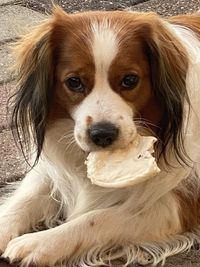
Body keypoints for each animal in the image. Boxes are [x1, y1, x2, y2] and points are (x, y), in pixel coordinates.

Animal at [0, 6, 200, 267]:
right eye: (74, 82)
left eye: (130, 80)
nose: (103, 134)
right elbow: (25, 198)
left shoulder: (176, 205)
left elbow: (97, 218)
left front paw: (39, 243)